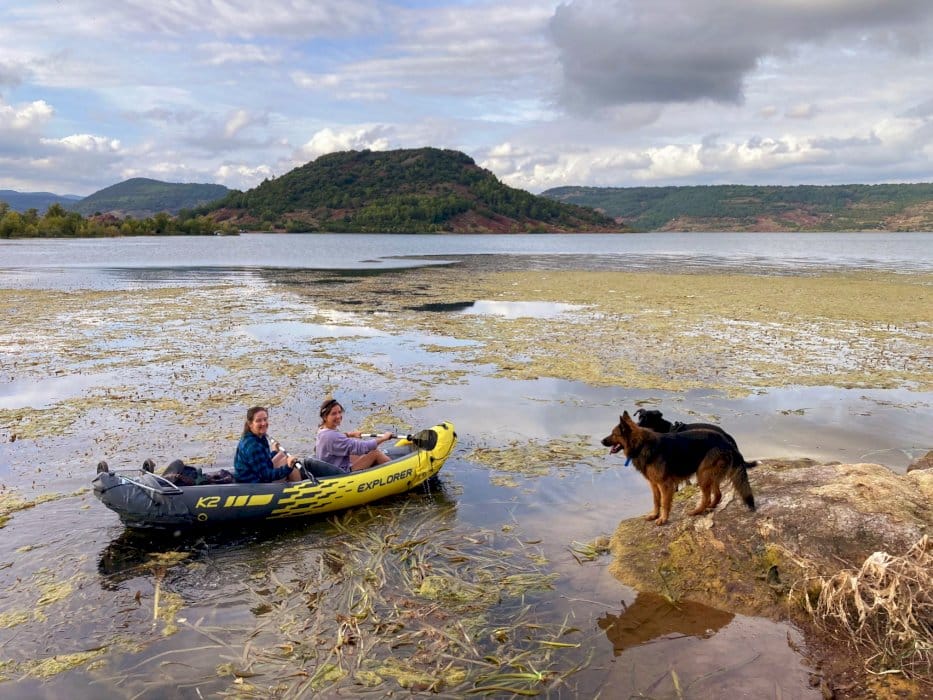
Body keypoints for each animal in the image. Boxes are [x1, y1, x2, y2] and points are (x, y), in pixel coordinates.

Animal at [600, 410, 752, 524]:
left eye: (614, 434)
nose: (601, 441)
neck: (641, 445)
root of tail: (726, 441)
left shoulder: (664, 484)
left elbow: (664, 502)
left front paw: (663, 519)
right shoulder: (654, 484)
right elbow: (656, 501)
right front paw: (655, 515)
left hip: (702, 475)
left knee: (707, 497)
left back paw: (696, 511)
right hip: (709, 475)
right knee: (718, 494)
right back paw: (708, 507)